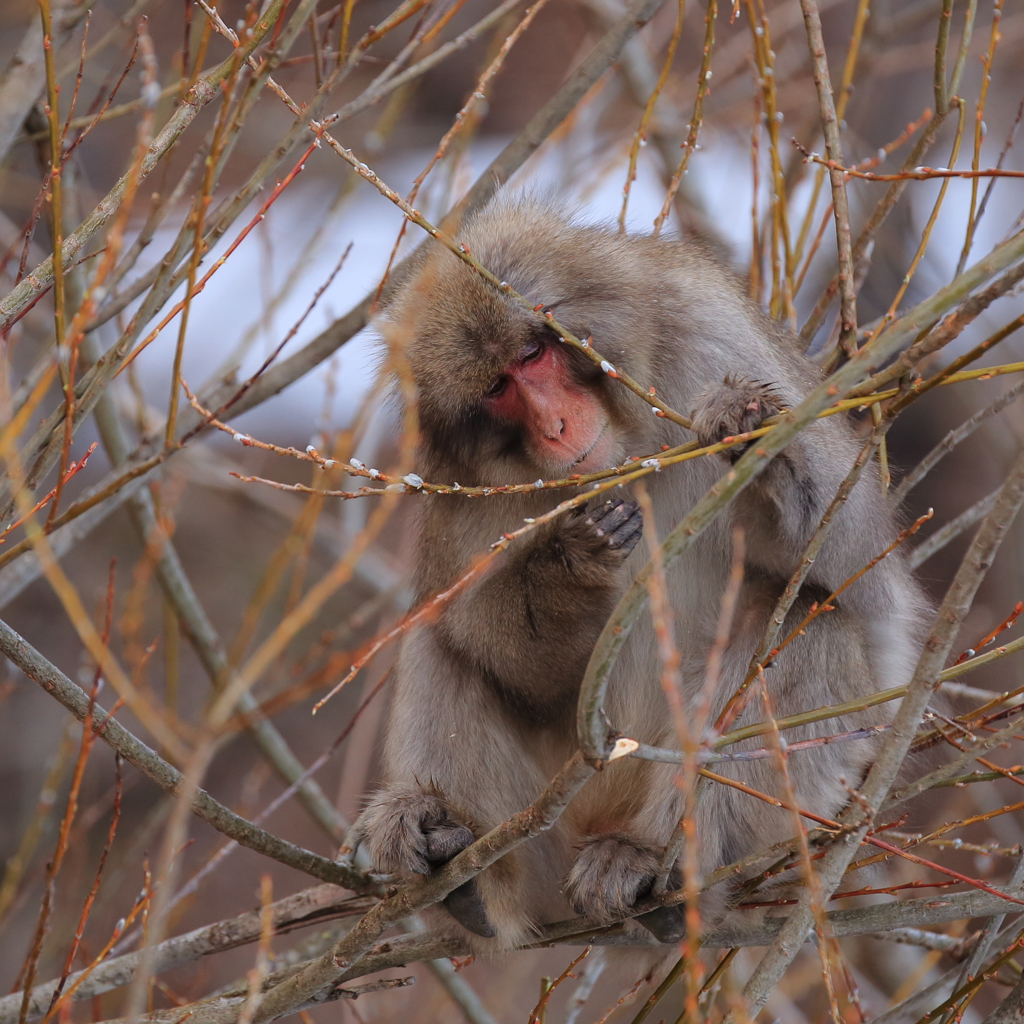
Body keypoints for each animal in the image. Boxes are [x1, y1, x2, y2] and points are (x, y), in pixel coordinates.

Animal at [358, 197, 929, 950]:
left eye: (534, 352)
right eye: (499, 388)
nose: (556, 425)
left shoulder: (714, 335)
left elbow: (861, 575)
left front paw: (751, 434)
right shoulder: (462, 483)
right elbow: (506, 653)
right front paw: (570, 563)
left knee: (810, 626)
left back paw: (654, 864)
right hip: (544, 837)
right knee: (440, 636)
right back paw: (458, 866)